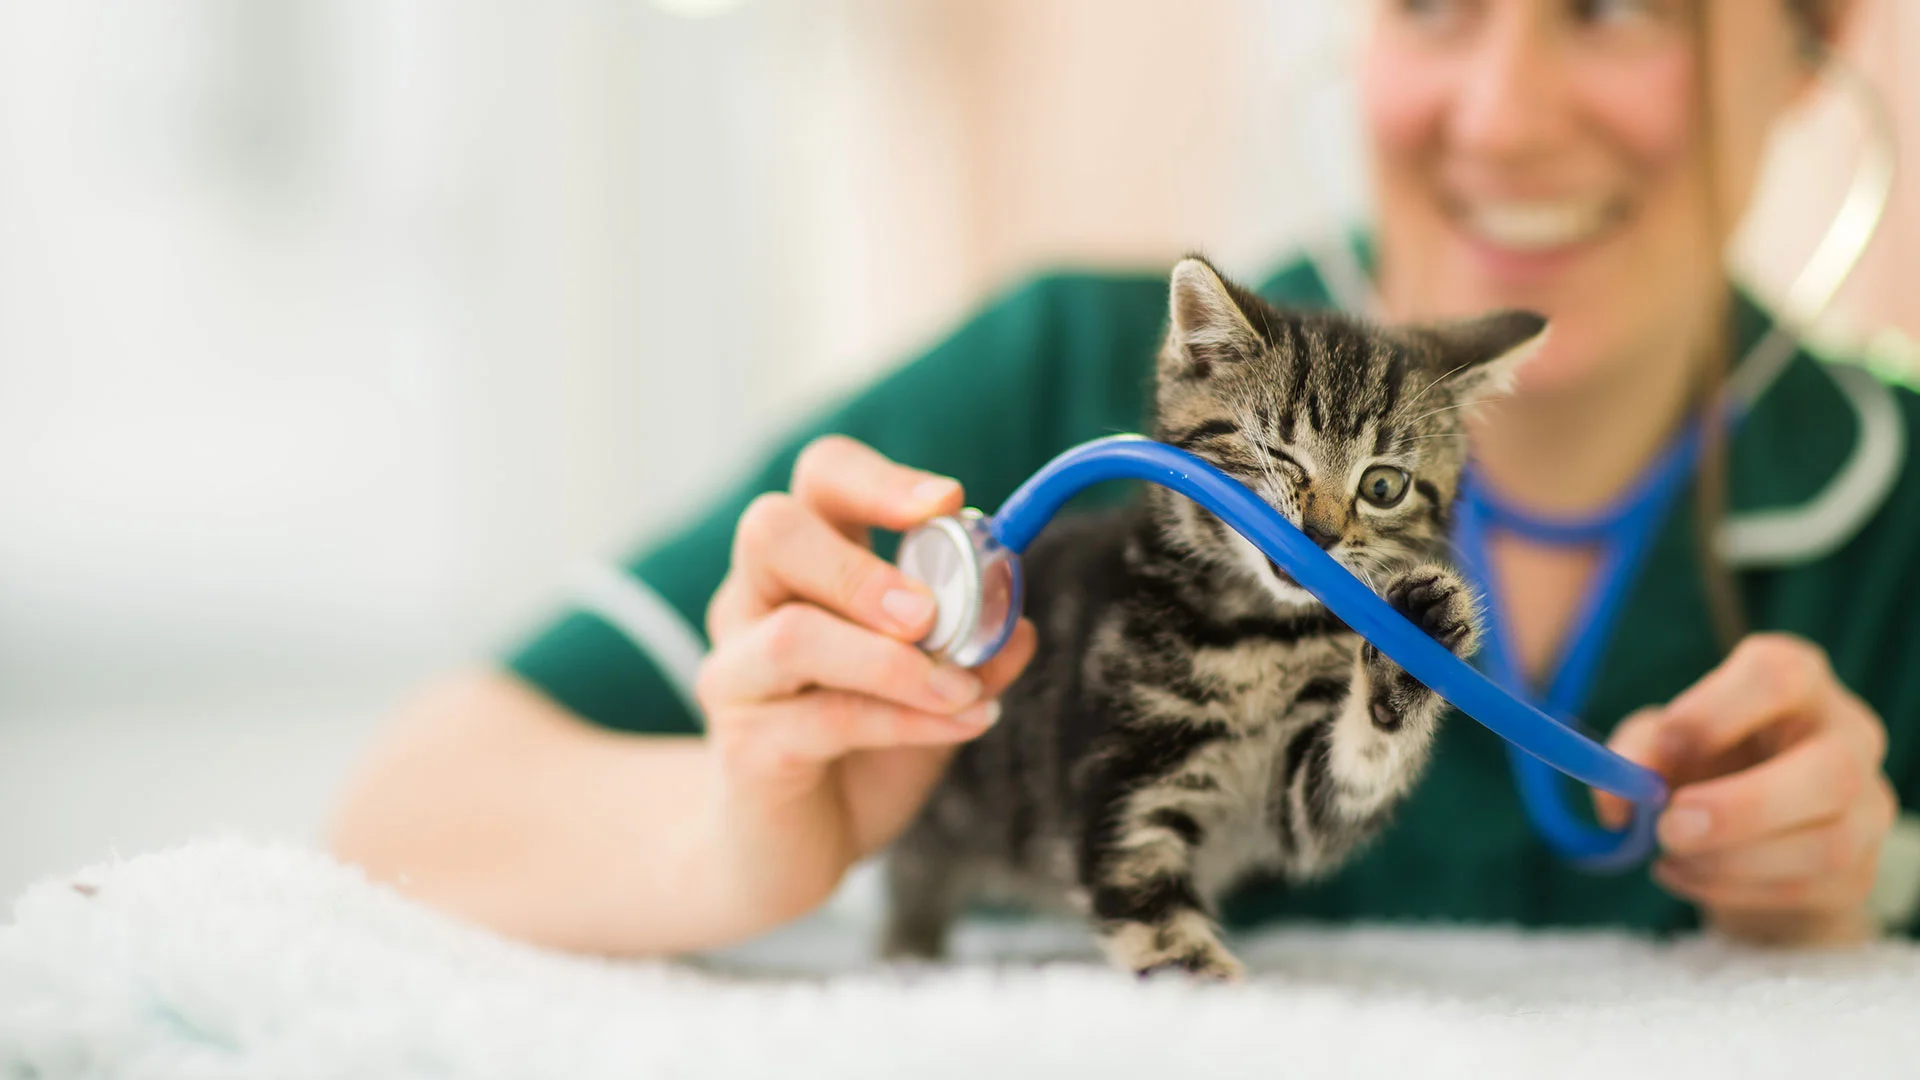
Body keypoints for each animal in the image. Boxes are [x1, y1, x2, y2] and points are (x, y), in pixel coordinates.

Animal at [879, 253, 1551, 976]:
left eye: (1382, 486)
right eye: (1278, 455)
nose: (1320, 535)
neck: (1261, 631)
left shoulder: (1297, 807)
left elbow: (1353, 774)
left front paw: (1414, 643)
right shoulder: (1125, 773)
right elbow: (1144, 887)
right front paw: (1198, 976)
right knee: (917, 870)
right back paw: (910, 949)